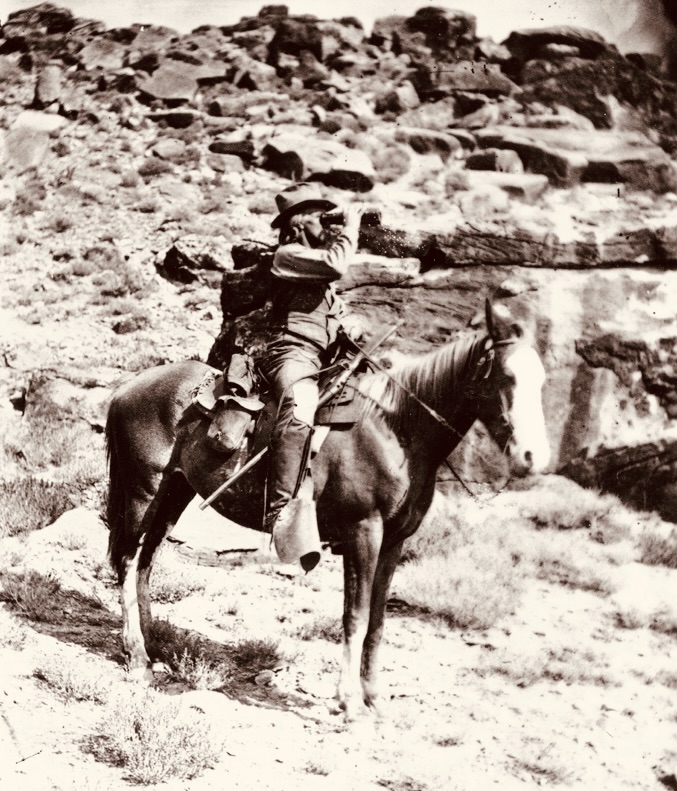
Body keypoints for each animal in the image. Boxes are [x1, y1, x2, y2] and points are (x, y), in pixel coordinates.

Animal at [105, 302, 548, 724]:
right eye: (506, 377)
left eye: (542, 380)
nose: (534, 457)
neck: (398, 431)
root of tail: (128, 386)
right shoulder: (363, 532)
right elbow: (356, 616)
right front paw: (349, 701)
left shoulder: (394, 542)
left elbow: (378, 621)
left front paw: (375, 698)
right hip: (144, 491)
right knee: (128, 560)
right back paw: (138, 657)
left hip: (175, 494)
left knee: (146, 562)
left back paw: (153, 643)